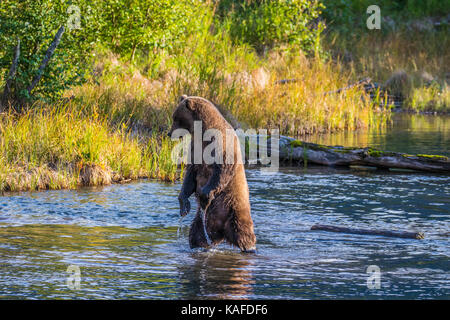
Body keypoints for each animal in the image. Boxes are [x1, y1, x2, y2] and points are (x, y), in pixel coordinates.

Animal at [168, 95, 256, 252]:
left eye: (175, 117)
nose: (169, 133)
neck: (203, 133)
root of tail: (223, 231)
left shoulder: (221, 145)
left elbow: (222, 171)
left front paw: (205, 195)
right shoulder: (195, 149)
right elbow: (190, 176)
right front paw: (184, 205)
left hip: (235, 208)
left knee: (243, 232)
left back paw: (250, 248)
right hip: (203, 221)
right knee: (196, 234)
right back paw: (199, 245)